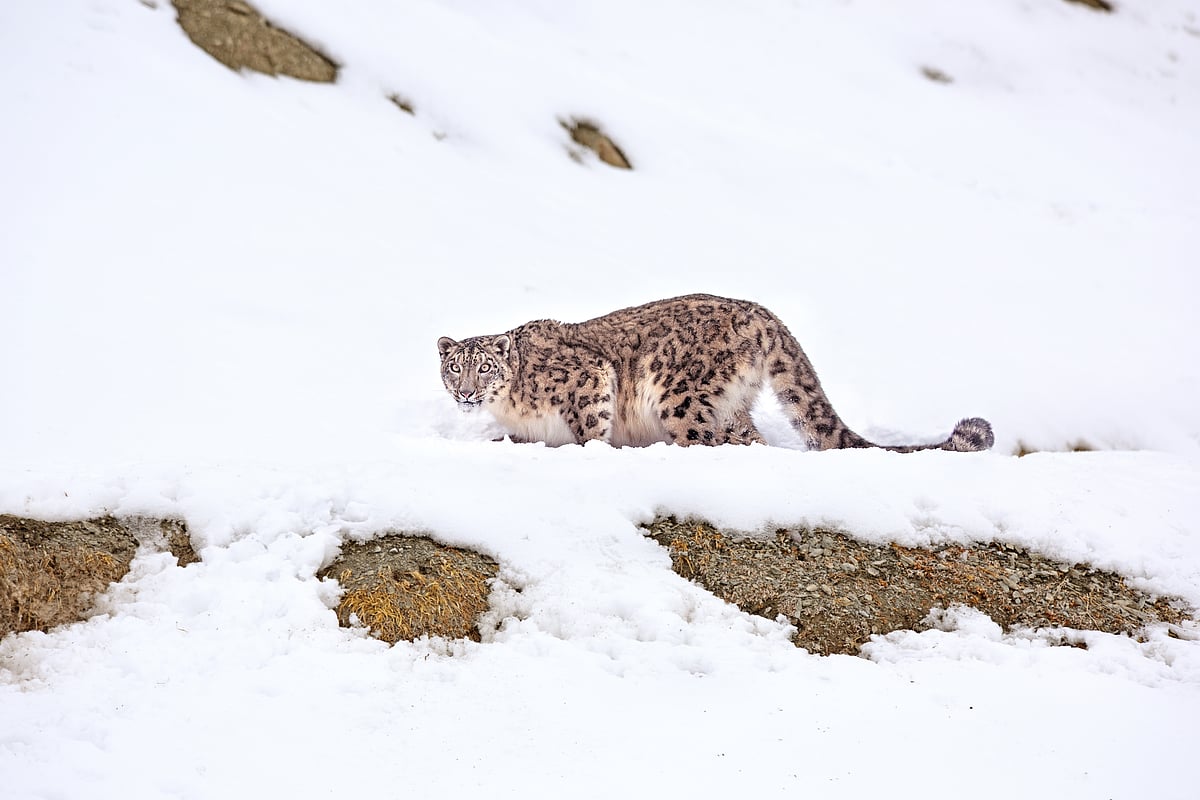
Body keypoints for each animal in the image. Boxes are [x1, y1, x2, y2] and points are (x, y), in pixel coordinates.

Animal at [436, 294, 993, 452]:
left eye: (484, 368)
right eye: (454, 369)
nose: (465, 394)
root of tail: (762, 314)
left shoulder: (589, 380)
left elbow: (590, 427)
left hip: (680, 396)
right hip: (730, 406)